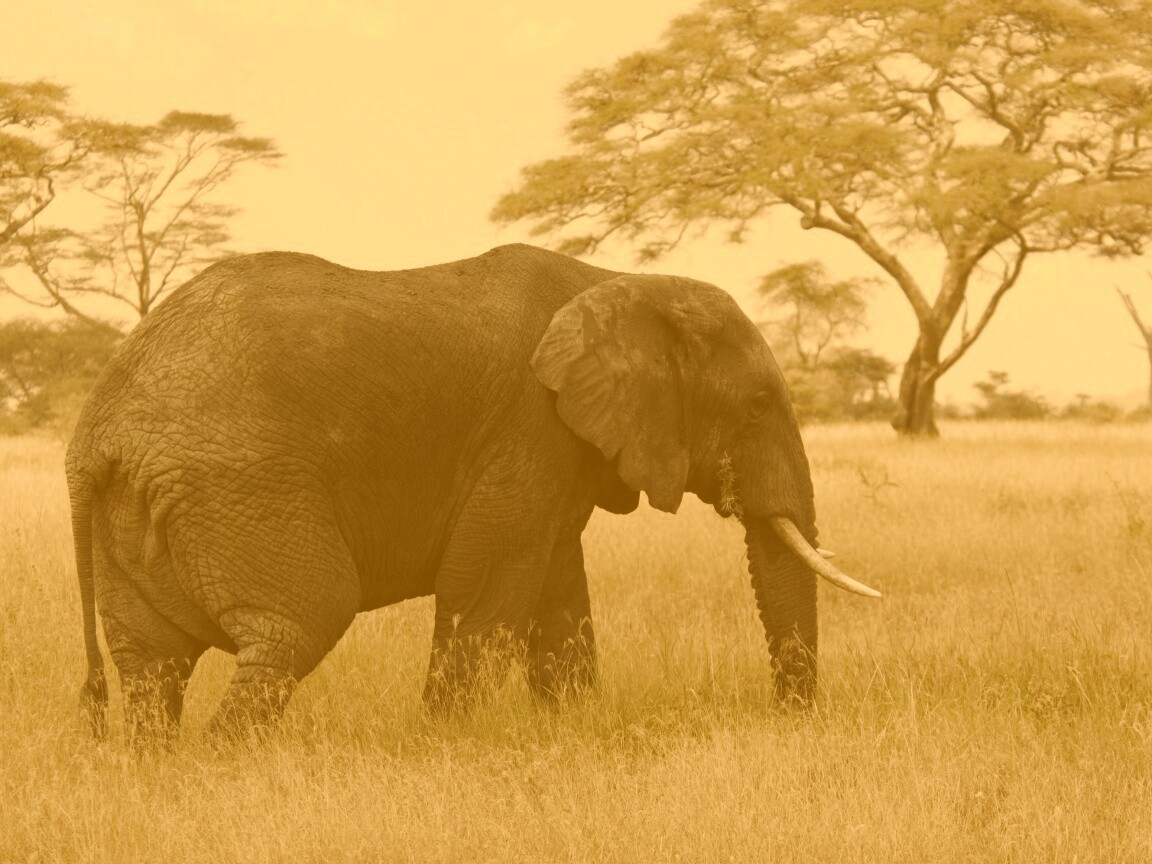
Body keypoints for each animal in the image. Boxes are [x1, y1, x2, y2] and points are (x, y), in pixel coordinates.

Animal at [67, 243, 879, 738]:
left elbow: (556, 592)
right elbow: (487, 583)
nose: (789, 721)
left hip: (141, 510)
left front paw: (570, 732)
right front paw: (443, 744)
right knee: (299, 622)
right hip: (238, 487)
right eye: (756, 406)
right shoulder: (529, 428)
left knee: (151, 666)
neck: (615, 281)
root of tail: (96, 429)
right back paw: (227, 765)